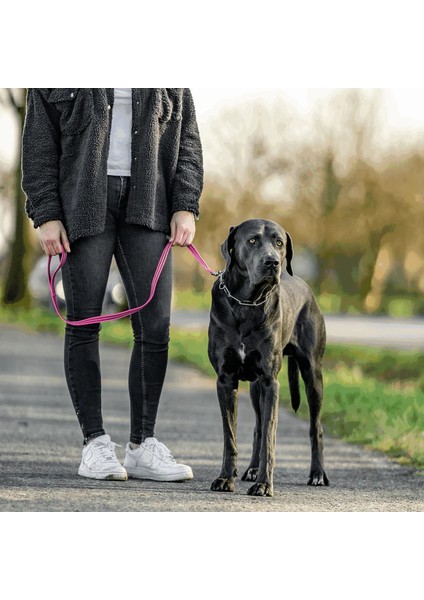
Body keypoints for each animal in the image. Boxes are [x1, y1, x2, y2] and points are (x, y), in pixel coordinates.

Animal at [207, 218, 330, 494]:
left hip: (312, 374)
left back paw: (317, 474)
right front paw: (225, 478)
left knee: (315, 427)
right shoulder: (226, 379)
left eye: (279, 243)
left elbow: (270, 438)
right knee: (258, 427)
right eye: (252, 240)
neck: (246, 302)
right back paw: (252, 469)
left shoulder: (270, 382)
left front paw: (264, 484)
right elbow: (230, 436)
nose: (272, 262)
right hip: (254, 387)